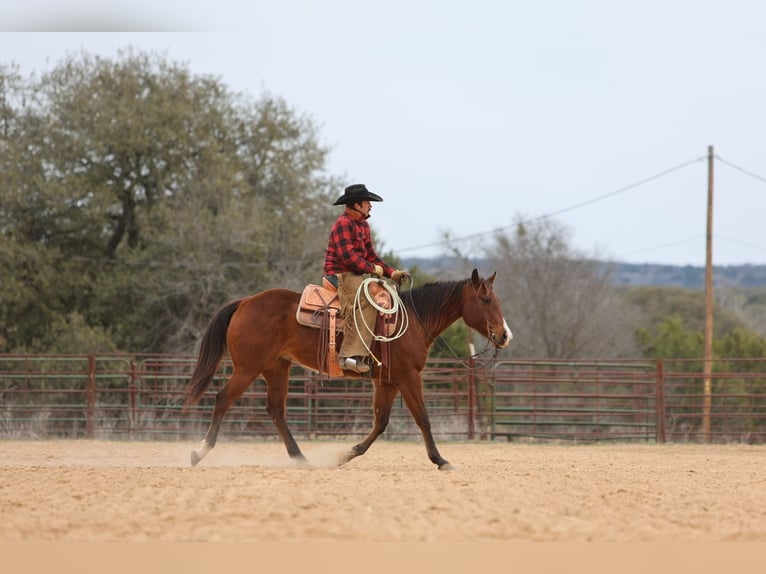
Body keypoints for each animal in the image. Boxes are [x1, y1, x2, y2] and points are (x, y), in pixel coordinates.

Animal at [183, 270, 512, 472]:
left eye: (497, 299)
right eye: (485, 299)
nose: (504, 335)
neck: (412, 321)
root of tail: (245, 302)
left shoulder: (387, 382)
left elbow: (381, 422)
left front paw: (346, 454)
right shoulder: (408, 377)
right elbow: (423, 419)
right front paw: (441, 460)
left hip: (277, 367)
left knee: (276, 410)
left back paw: (301, 458)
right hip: (248, 368)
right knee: (223, 400)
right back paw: (199, 452)